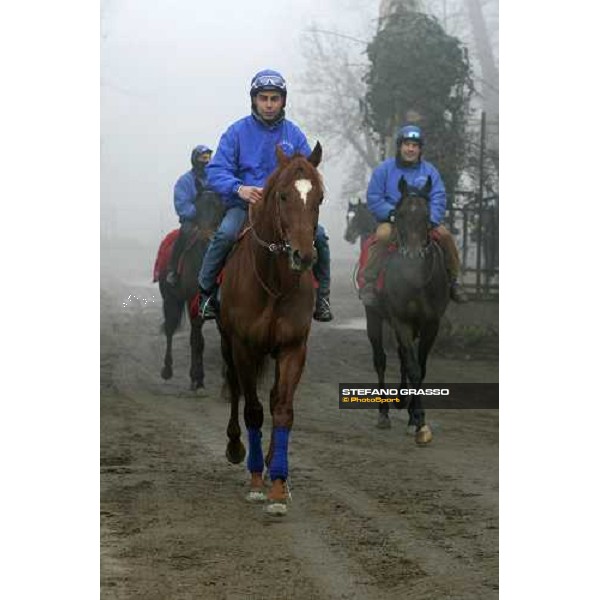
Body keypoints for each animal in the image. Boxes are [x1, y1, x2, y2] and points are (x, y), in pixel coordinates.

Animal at [155, 190, 225, 392]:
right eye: (197, 207)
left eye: (220, 206)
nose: (206, 239)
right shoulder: (193, 301)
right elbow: (197, 341)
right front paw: (196, 377)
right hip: (170, 299)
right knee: (171, 330)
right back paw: (168, 370)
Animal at [218, 142, 324, 516]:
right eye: (282, 195)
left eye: (319, 196)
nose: (304, 256)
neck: (274, 284)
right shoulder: (243, 347)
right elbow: (252, 410)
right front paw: (254, 483)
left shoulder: (294, 348)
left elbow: (282, 410)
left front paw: (278, 485)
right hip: (226, 344)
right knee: (236, 389)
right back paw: (237, 448)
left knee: (275, 395)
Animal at [366, 176, 450, 442]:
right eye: (400, 214)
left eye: (426, 215)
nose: (413, 254)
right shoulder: (401, 320)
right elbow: (413, 368)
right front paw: (420, 422)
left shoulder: (431, 323)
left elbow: (419, 368)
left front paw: (415, 418)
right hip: (374, 317)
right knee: (380, 360)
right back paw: (384, 413)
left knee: (403, 356)